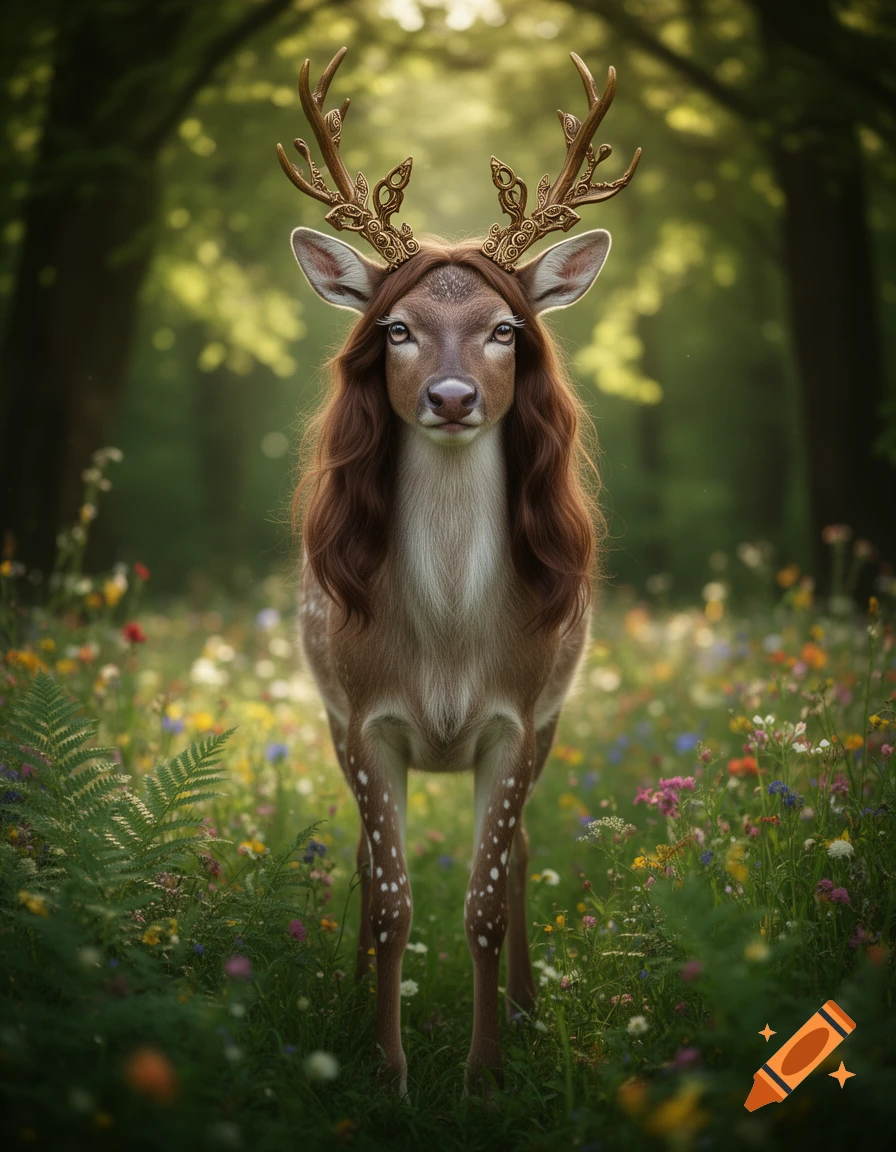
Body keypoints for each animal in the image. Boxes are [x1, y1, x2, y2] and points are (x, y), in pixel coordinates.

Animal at [277, 47, 640, 1095]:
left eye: (506, 329)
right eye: (394, 328)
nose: (449, 396)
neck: (442, 647)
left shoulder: (519, 718)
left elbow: (481, 900)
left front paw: (483, 1078)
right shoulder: (362, 716)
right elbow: (396, 897)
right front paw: (387, 1072)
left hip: (556, 712)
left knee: (515, 857)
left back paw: (523, 1010)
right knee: (368, 866)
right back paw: (355, 994)